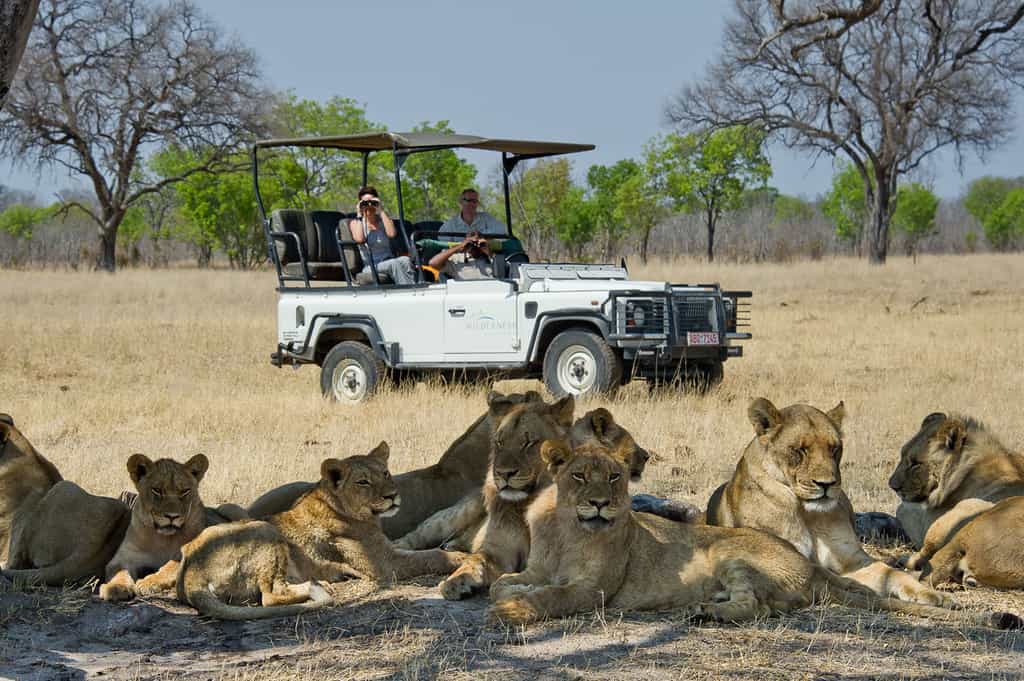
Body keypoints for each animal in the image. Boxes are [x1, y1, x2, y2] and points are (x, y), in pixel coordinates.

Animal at [138, 443, 467, 620]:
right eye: (363, 482)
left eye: (385, 473)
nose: (392, 496)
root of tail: (190, 574)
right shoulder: (385, 566)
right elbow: (431, 556)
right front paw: (462, 558)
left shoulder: (390, 551)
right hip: (264, 531)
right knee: (269, 596)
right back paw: (319, 585)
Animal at [487, 438, 1021, 630]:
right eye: (580, 476)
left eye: (614, 478)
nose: (600, 503)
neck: (566, 527)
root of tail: (810, 567)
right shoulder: (539, 567)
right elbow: (504, 581)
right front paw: (507, 594)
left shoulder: (594, 589)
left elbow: (551, 597)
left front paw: (513, 610)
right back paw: (706, 608)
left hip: (731, 555)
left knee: (758, 607)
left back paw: (706, 612)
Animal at [705, 398, 950, 606]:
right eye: (800, 450)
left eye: (834, 448)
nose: (826, 484)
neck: (808, 513)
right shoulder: (780, 553)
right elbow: (823, 573)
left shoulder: (852, 560)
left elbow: (890, 572)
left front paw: (932, 594)